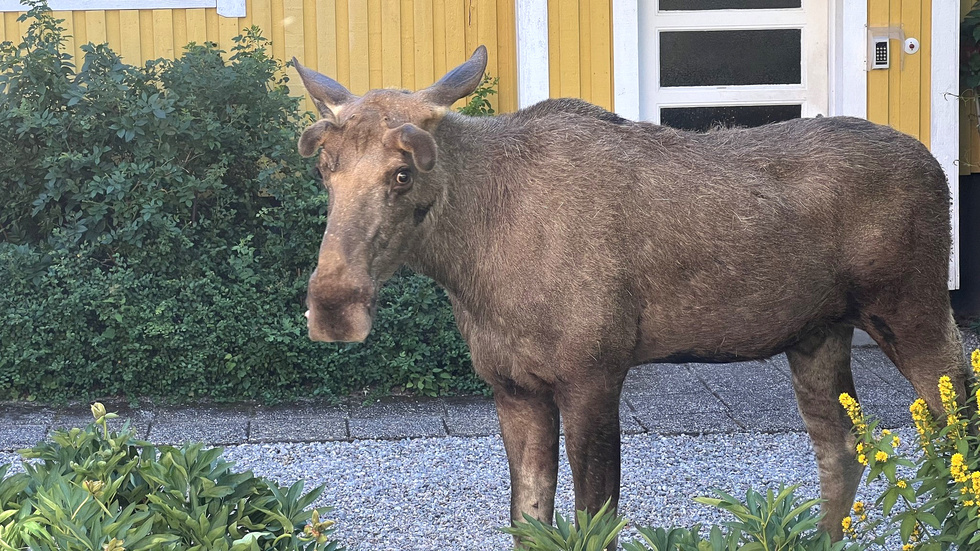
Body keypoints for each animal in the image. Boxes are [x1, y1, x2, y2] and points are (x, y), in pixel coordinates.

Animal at [290, 46, 964, 544]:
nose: (332, 306)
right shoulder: (513, 386)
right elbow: (528, 521)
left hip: (915, 309)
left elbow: (595, 521)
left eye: (403, 173)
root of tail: (938, 168)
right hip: (817, 333)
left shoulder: (594, 372)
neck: (472, 268)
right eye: (324, 169)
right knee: (843, 450)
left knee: (955, 428)